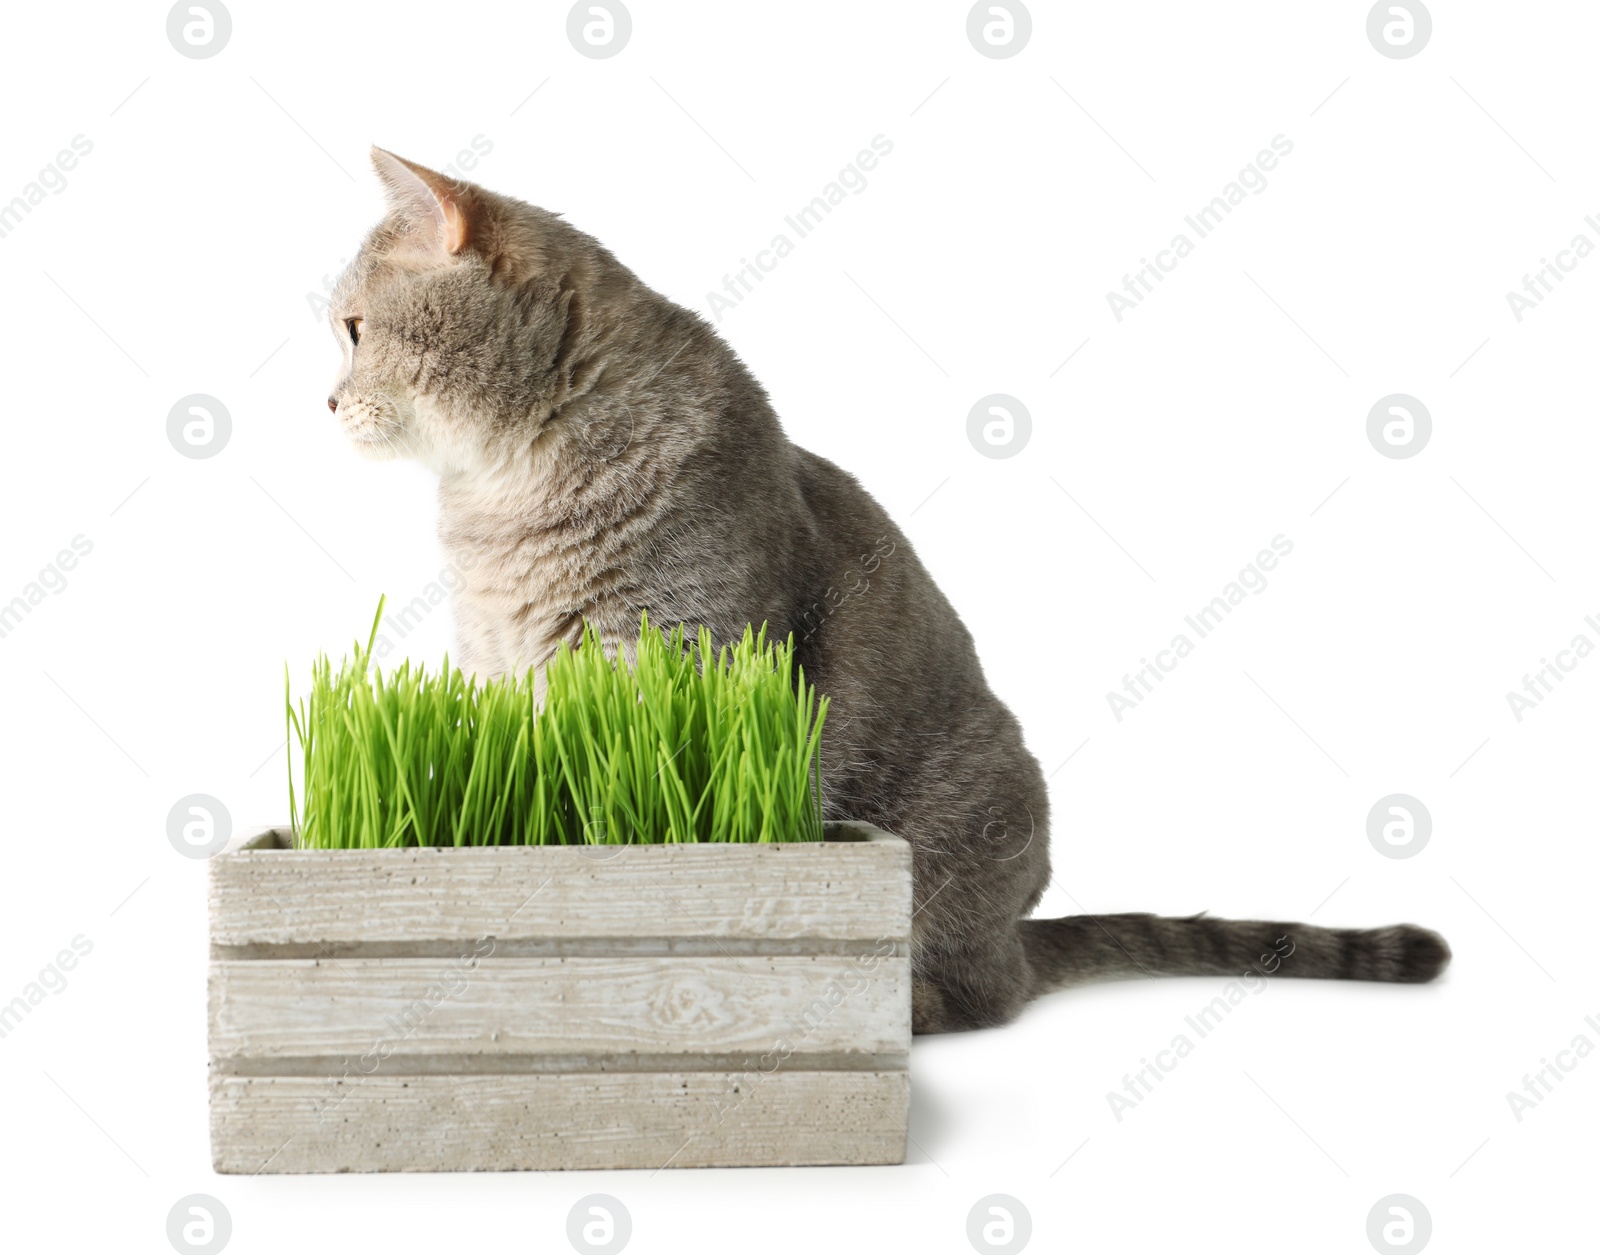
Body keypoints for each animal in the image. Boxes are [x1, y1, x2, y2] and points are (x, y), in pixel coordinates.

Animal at [324, 147, 1452, 1030]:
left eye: (351, 328)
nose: (326, 401)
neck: (502, 492)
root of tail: (1018, 934)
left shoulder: (675, 649)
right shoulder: (500, 668)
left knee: (977, 994)